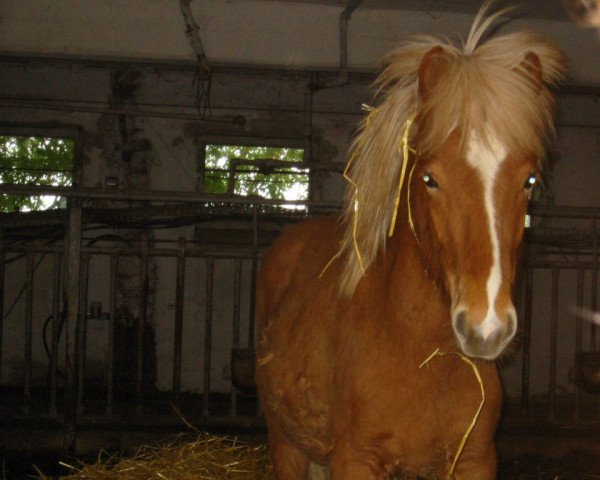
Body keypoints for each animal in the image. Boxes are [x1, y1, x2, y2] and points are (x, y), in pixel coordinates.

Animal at [256, 4, 564, 480]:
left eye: (530, 180)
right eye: (430, 178)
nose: (487, 327)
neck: (422, 355)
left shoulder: (475, 460)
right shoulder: (355, 460)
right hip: (286, 445)